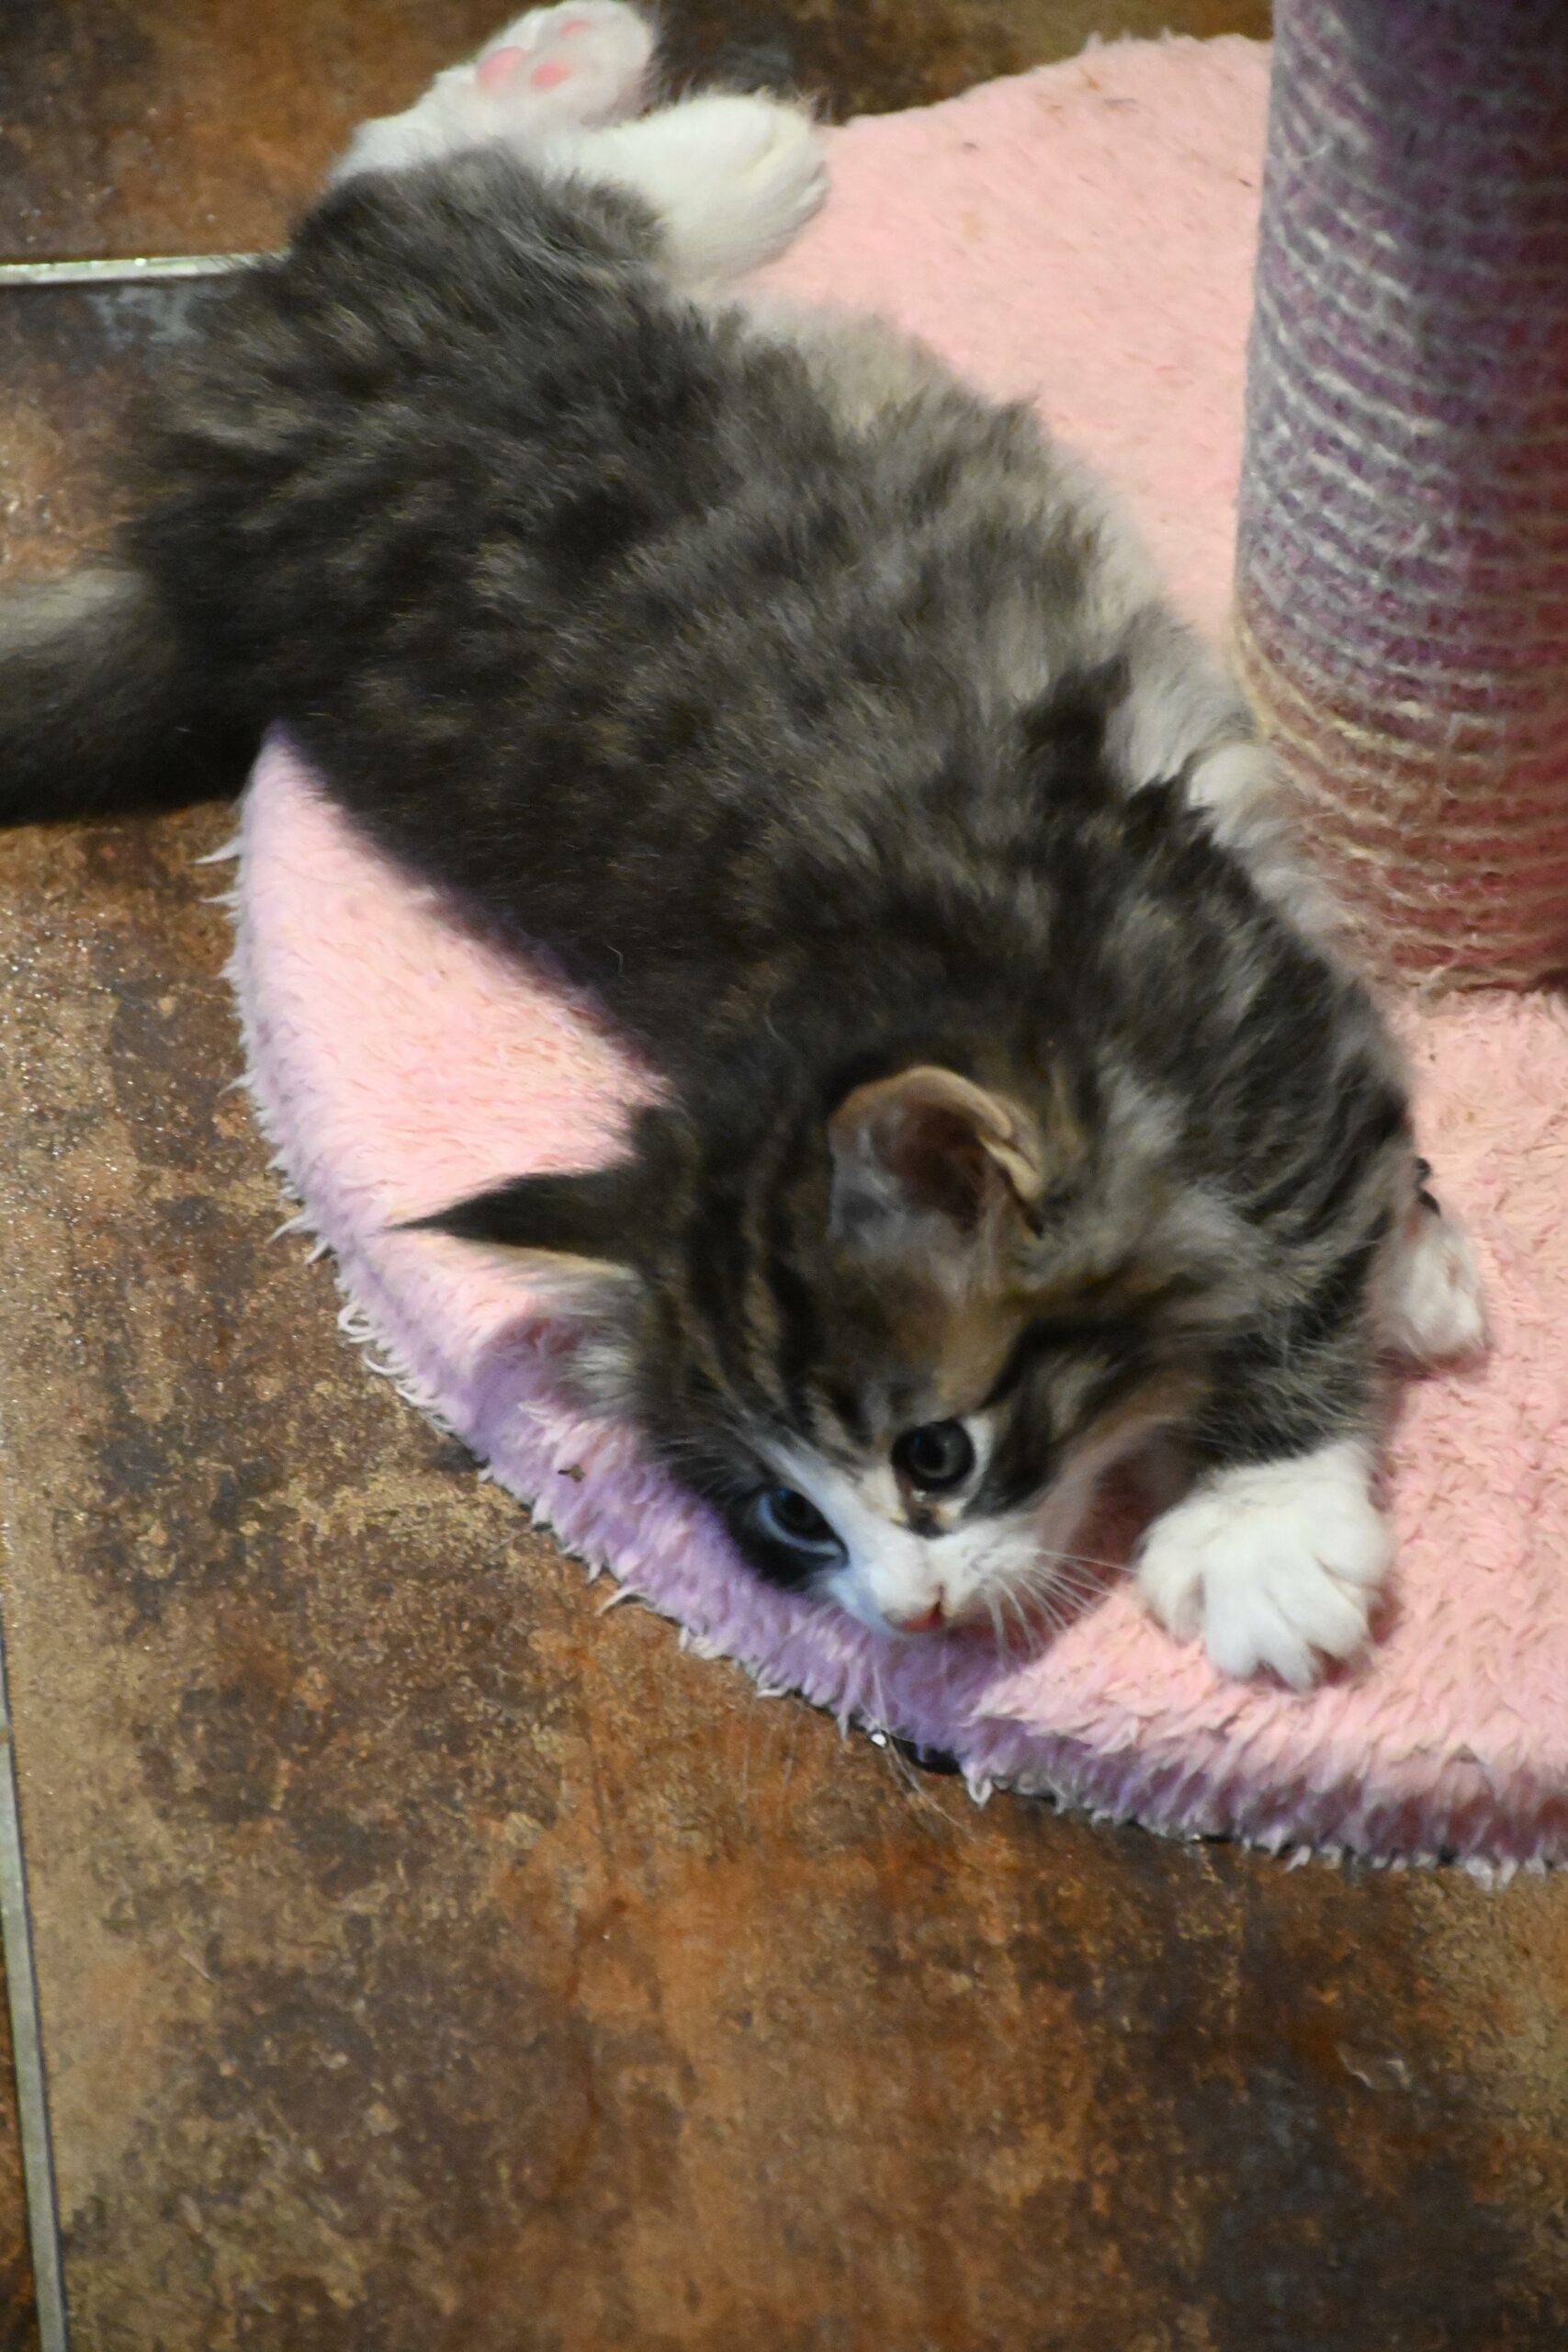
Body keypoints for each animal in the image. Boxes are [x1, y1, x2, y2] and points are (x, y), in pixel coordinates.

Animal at [0, 3, 1485, 1687]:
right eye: (790, 1522)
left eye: (934, 1456)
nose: (904, 1614)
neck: (862, 980)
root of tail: (196, 505)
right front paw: (1318, 1429)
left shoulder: (1238, 1000)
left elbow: (1296, 1242)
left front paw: (1267, 1500)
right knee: (388, 193)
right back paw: (636, 111)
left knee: (385, 202)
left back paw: (649, 114)